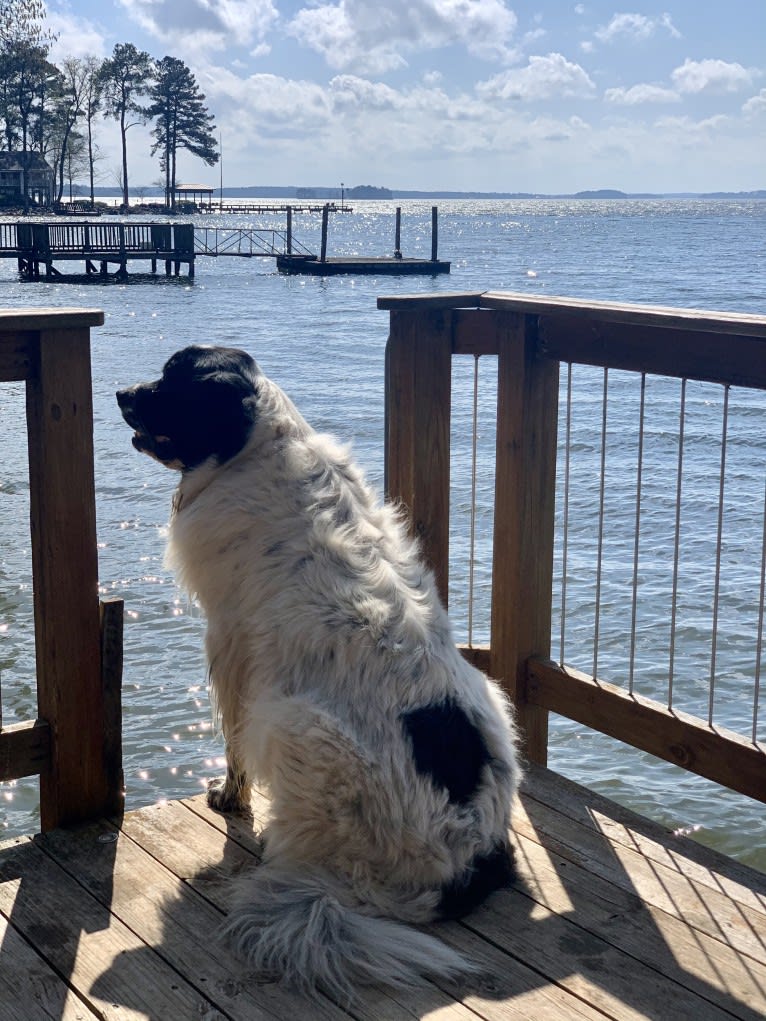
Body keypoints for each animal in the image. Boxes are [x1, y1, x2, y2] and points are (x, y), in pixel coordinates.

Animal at [116, 347, 522, 1000]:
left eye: (176, 382)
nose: (123, 393)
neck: (256, 447)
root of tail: (470, 861)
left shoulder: (231, 641)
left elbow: (231, 738)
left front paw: (229, 799)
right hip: (489, 692)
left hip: (295, 724)